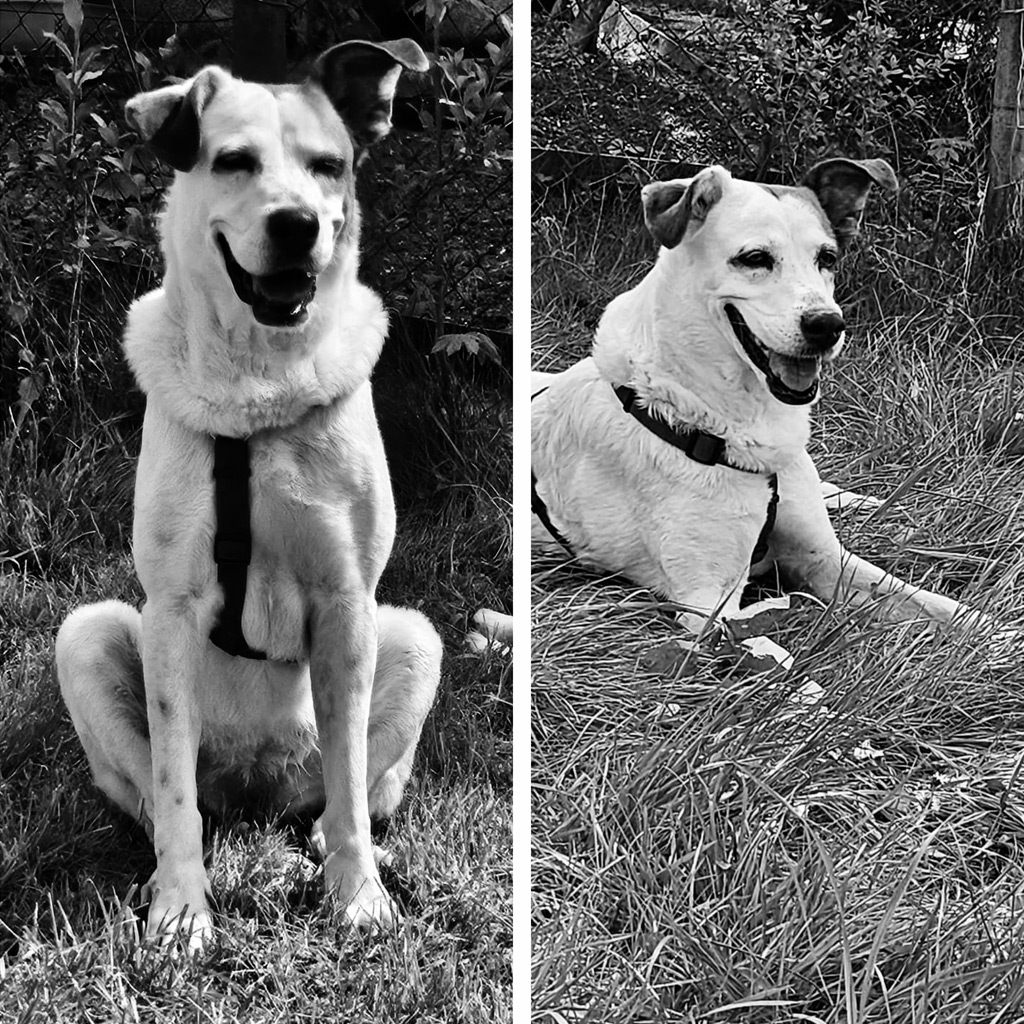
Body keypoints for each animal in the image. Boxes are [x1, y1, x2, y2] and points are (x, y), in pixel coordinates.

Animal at [528, 156, 983, 634]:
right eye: (754, 259)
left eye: (828, 258)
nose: (827, 326)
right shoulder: (710, 607)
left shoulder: (828, 560)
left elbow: (948, 610)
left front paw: (995, 632)